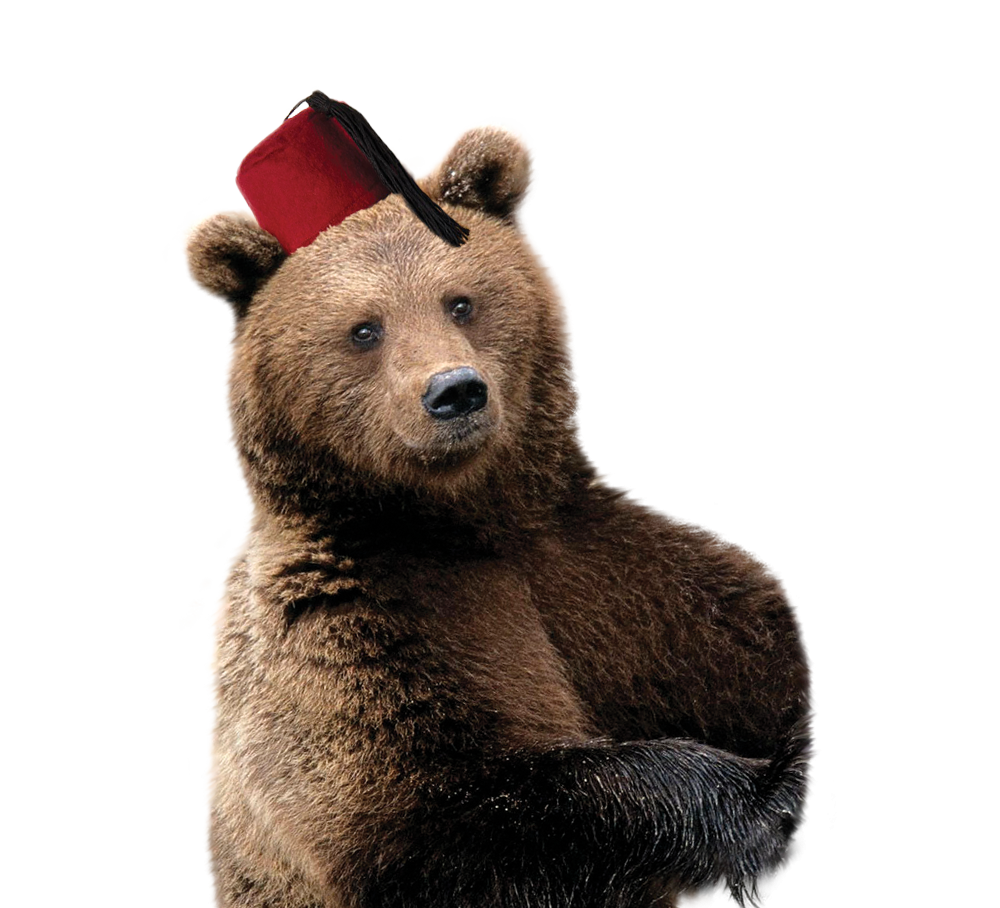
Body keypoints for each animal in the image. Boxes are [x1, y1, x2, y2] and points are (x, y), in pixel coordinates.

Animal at [189, 121, 817, 908]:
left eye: (460, 301)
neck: (461, 518)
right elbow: (440, 813)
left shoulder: (611, 577)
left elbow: (754, 656)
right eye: (365, 329)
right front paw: (763, 791)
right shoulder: (352, 620)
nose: (455, 392)